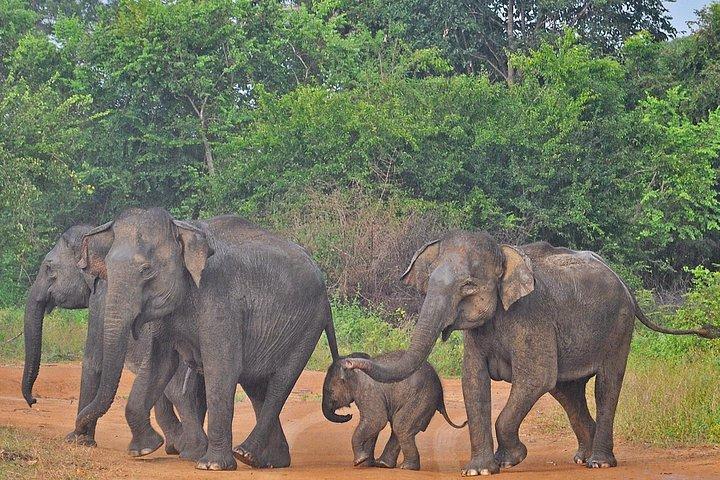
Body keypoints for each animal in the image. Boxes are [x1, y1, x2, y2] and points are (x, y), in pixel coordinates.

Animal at [20, 225, 208, 459]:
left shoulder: (101, 298)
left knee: (178, 392)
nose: (33, 401)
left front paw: (78, 440)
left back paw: (188, 449)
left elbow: (93, 363)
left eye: (48, 268)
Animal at [74, 207, 341, 471]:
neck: (182, 228)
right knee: (256, 386)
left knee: (279, 384)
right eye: (107, 268)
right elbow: (158, 366)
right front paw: (144, 449)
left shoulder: (220, 300)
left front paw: (211, 465)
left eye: (146, 270)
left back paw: (246, 454)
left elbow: (221, 369)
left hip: (307, 327)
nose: (79, 436)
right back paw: (267, 461)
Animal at [323, 351, 466, 471]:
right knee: (399, 427)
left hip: (421, 398)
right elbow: (372, 424)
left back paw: (406, 467)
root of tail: (440, 391)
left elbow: (376, 420)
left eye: (329, 391)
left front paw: (359, 461)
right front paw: (365, 463)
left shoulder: (368, 390)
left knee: (400, 426)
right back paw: (384, 464)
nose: (349, 415)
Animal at [342, 232, 720, 476]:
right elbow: (473, 383)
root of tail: (623, 282)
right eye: (429, 283)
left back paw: (599, 462)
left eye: (468, 287)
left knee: (605, 385)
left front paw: (510, 460)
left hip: (618, 327)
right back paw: (581, 457)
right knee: (567, 392)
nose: (347, 361)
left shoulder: (531, 316)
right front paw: (479, 470)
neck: (504, 253)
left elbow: (535, 378)